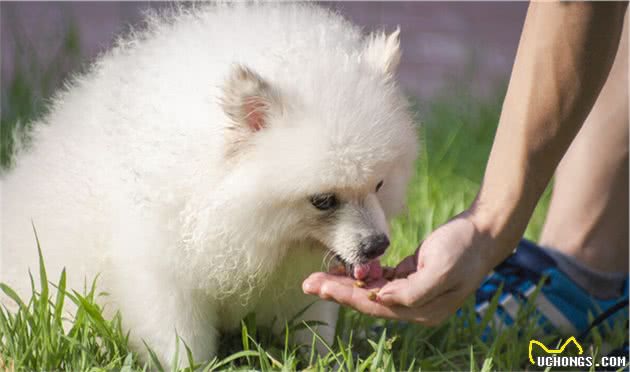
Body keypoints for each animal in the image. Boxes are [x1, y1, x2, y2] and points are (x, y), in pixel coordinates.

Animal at [1, 2, 420, 364]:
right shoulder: (161, 271)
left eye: (379, 184)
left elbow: (312, 326)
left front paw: (323, 360)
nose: (377, 245)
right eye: (322, 200)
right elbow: (180, 339)